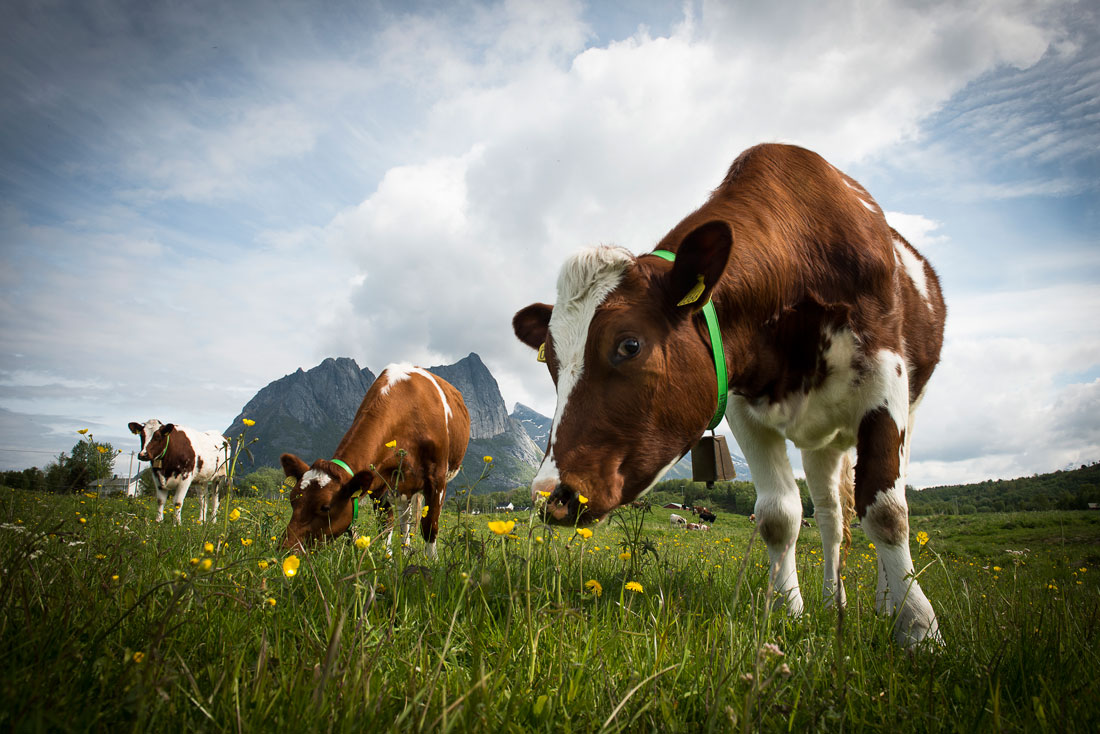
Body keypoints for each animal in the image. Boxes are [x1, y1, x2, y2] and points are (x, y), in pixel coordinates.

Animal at [279, 365, 468, 559]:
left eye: (325, 507)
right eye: (292, 499)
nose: (285, 550)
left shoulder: (437, 478)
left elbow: (430, 525)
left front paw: (432, 561)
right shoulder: (379, 482)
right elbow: (385, 525)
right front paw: (388, 559)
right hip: (403, 486)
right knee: (404, 518)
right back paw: (404, 550)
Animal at [512, 145, 946, 647]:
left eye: (629, 345)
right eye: (551, 362)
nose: (549, 495)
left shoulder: (886, 378)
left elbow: (887, 510)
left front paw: (919, 628)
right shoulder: (743, 406)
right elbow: (779, 515)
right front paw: (788, 612)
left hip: (904, 409)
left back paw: (885, 603)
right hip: (821, 442)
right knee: (832, 518)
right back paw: (831, 602)